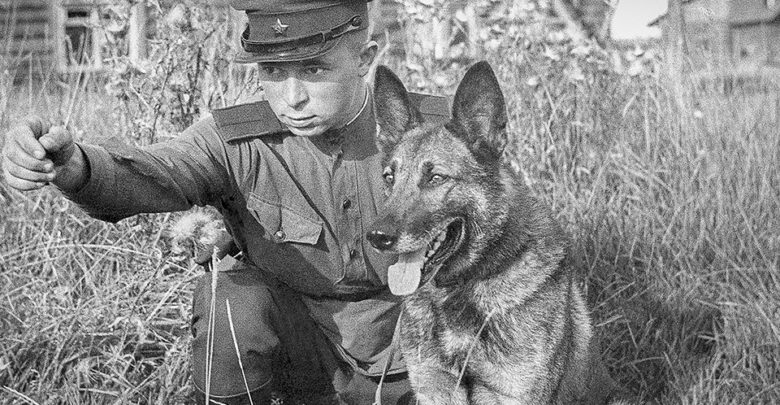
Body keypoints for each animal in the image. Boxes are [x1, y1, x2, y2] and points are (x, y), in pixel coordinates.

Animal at [366, 62, 626, 405]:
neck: (463, 287)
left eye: (436, 177)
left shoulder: (512, 395)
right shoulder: (434, 388)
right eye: (389, 177)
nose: (376, 237)